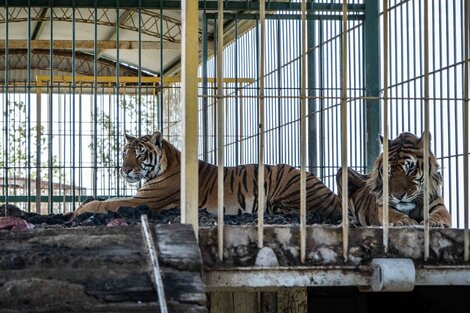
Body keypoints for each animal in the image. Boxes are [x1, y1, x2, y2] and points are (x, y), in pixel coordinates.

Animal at [75, 129, 344, 222]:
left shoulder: (143, 200)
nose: (125, 170)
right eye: (125, 153)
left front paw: (80, 209)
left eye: (139, 154)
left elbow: (106, 203)